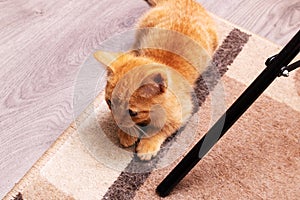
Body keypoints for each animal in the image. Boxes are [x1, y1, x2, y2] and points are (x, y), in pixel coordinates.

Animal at [94, 0, 218, 160]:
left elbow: (162, 128)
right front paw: (127, 132)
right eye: (110, 103)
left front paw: (148, 144)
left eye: (132, 112)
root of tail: (186, 1)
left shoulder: (183, 112)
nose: (117, 121)